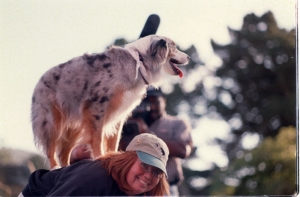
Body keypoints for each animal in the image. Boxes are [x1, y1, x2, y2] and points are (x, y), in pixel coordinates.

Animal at [31, 35, 190, 168]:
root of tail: (39, 81)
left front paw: (113, 156)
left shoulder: (119, 113)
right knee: (51, 149)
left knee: (63, 151)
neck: (140, 61)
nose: (188, 57)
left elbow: (114, 139)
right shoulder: (97, 107)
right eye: (174, 47)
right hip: (52, 121)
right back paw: (55, 167)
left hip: (74, 125)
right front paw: (99, 157)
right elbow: (98, 138)